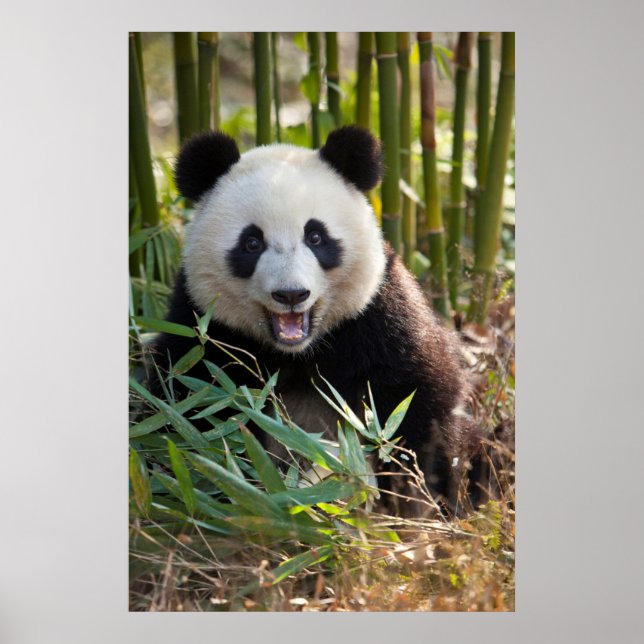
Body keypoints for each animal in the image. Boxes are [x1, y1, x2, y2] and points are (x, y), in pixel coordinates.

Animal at [151, 125, 470, 512]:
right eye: (252, 242)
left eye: (316, 236)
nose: (291, 294)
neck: (297, 352)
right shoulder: (203, 331)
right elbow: (192, 413)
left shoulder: (378, 319)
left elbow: (417, 404)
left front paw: (414, 499)